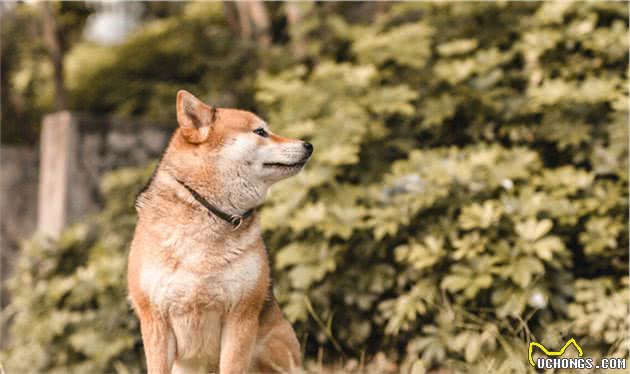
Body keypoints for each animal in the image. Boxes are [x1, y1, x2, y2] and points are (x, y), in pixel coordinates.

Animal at [128, 89, 314, 372]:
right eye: (261, 132)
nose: (308, 145)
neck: (208, 211)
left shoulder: (241, 317)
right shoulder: (155, 321)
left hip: (271, 349)